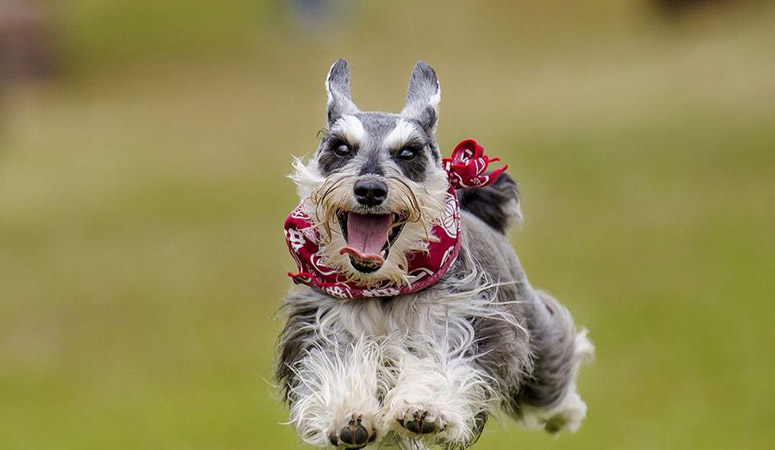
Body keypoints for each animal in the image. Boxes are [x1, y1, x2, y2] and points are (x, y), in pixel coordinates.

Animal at [278, 59, 596, 450]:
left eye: (408, 152)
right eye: (340, 148)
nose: (370, 188)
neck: (385, 284)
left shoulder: (465, 324)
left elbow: (440, 364)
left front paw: (424, 408)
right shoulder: (324, 327)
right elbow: (336, 365)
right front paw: (349, 415)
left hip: (535, 338)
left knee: (553, 371)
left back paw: (567, 412)